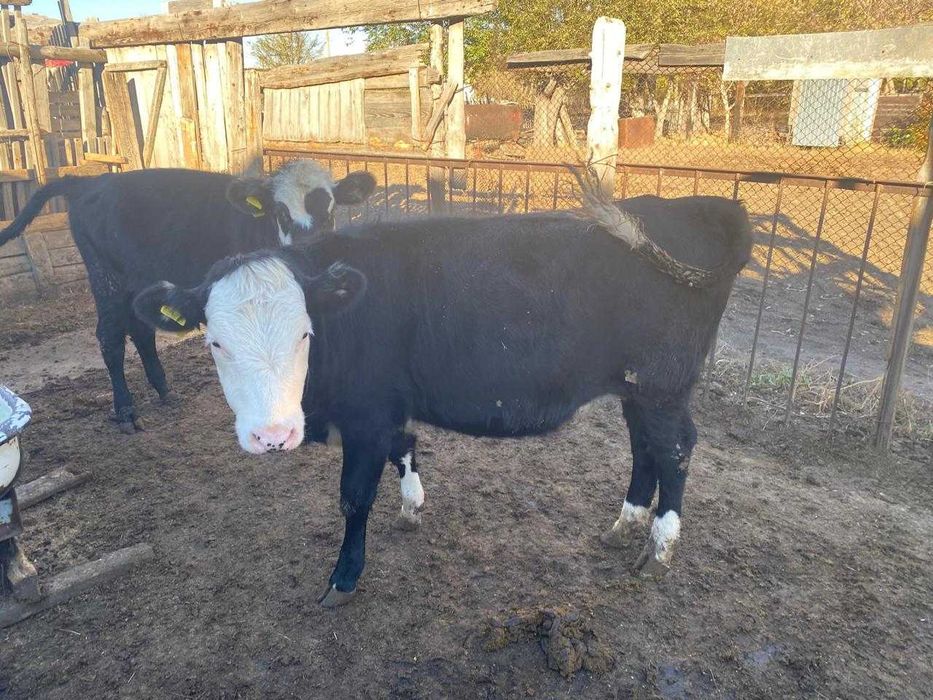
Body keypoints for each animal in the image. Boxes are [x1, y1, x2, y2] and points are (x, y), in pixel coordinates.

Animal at [0, 160, 375, 433]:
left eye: (329, 209)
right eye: (281, 212)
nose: (307, 246)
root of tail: (89, 182)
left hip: (140, 278)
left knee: (141, 329)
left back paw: (164, 390)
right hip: (106, 278)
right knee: (110, 337)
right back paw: (125, 411)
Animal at [134, 171, 752, 607]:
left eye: (304, 333)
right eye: (215, 342)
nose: (272, 434)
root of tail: (697, 206)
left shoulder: (366, 413)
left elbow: (354, 497)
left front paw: (343, 578)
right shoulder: (390, 406)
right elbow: (405, 448)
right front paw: (411, 507)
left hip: (662, 386)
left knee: (674, 451)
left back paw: (659, 550)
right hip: (635, 389)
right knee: (644, 449)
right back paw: (624, 527)